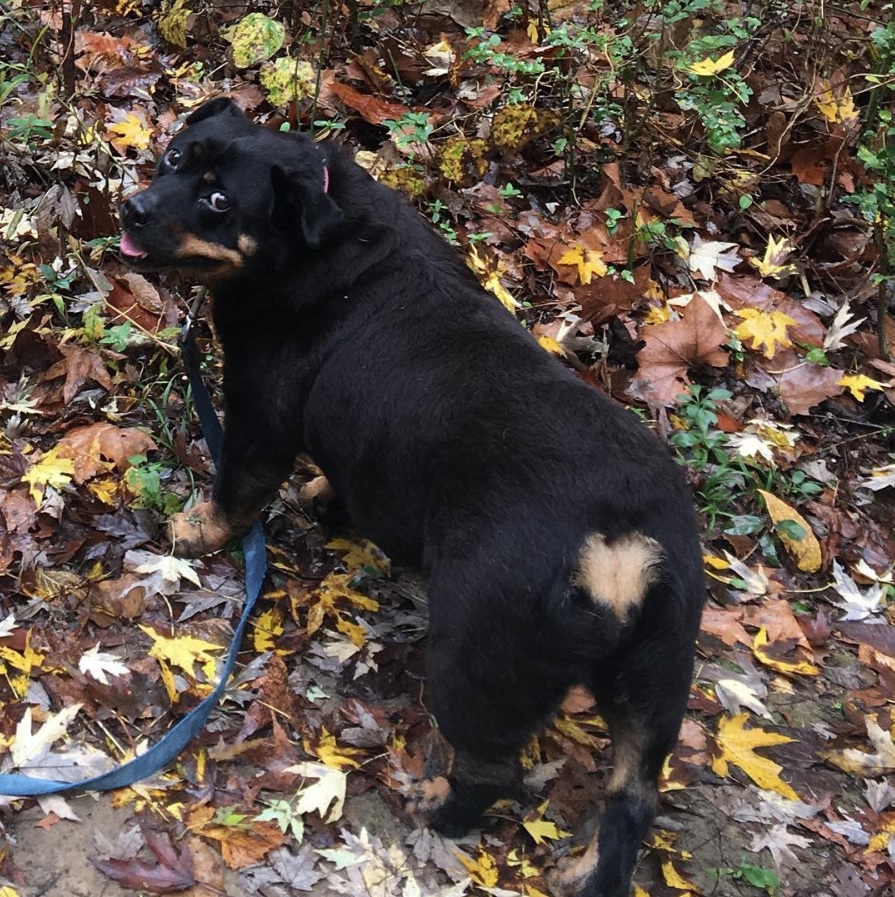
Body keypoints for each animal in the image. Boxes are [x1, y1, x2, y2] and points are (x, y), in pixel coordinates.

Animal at [121, 94, 708, 892]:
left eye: (218, 202)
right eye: (176, 156)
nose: (134, 207)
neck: (321, 243)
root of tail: (619, 549)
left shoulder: (259, 418)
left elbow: (237, 490)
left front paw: (201, 528)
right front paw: (324, 498)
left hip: (475, 660)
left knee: (492, 770)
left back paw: (437, 804)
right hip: (654, 684)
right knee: (633, 796)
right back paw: (584, 869)